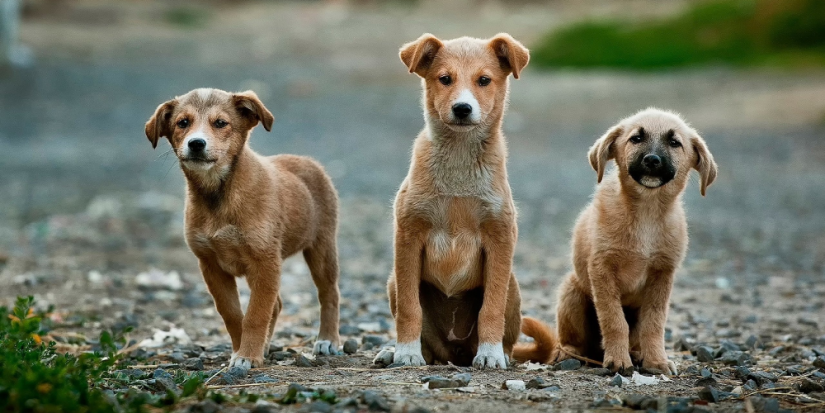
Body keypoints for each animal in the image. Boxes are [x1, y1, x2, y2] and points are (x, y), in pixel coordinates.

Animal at [143, 87, 340, 366]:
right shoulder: (211, 265)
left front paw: (247, 356)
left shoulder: (265, 260)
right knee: (277, 305)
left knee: (329, 294)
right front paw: (242, 350)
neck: (219, 195)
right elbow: (233, 314)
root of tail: (307, 161)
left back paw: (327, 340)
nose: (196, 143)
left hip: (321, 248)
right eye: (183, 123)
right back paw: (266, 346)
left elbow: (256, 314)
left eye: (220, 123)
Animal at [382, 32, 552, 366]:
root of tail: (455, 351)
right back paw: (394, 352)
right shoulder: (408, 235)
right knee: (428, 343)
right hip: (393, 281)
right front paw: (406, 352)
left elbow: (491, 308)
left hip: (513, 286)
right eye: (445, 79)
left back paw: (499, 353)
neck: (459, 162)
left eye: (484, 80)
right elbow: (409, 308)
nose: (462, 108)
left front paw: (490, 354)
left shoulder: (500, 237)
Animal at [520, 108, 716, 372]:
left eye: (675, 143)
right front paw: (618, 360)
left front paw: (656, 360)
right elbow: (614, 320)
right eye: (636, 138)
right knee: (571, 340)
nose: (652, 160)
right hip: (572, 292)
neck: (646, 212)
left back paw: (637, 353)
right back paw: (569, 353)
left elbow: (654, 324)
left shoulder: (662, 274)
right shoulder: (602, 269)